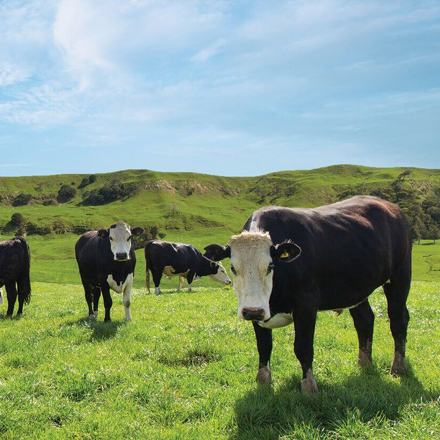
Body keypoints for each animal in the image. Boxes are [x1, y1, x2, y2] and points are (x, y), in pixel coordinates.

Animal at [206, 196, 412, 392]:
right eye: (233, 268)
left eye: (270, 266)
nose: (252, 311)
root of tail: (390, 206)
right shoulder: (260, 311)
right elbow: (264, 346)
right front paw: (263, 381)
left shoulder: (306, 305)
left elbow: (303, 347)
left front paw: (309, 386)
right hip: (356, 288)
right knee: (365, 320)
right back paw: (364, 364)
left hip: (400, 275)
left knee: (398, 319)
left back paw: (398, 367)